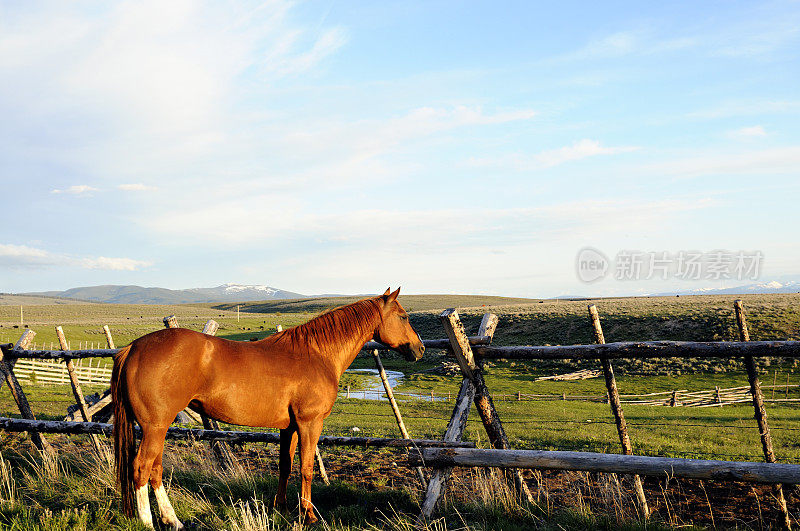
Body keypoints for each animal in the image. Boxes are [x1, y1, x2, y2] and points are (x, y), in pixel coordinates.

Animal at [114, 288, 424, 528]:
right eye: (404, 316)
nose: (419, 349)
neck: (316, 355)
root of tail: (134, 347)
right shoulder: (310, 423)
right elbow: (307, 467)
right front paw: (308, 515)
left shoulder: (289, 427)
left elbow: (285, 466)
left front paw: (281, 508)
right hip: (156, 426)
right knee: (141, 468)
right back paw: (148, 522)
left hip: (158, 428)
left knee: (155, 469)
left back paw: (173, 520)